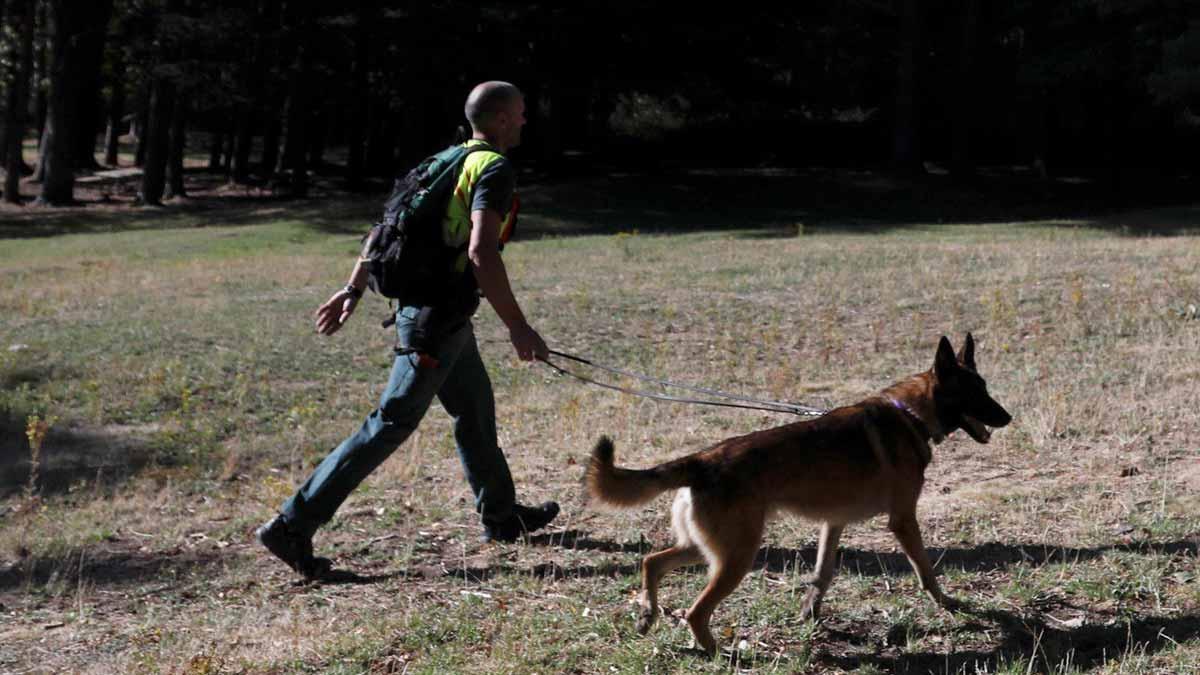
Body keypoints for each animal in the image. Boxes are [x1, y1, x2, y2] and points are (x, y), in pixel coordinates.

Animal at [585, 331, 1008, 653]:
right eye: (976, 393)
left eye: (986, 388)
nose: (1008, 417)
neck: (910, 414)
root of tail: (702, 459)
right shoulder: (903, 521)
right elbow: (925, 569)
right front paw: (947, 603)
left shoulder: (833, 524)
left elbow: (822, 574)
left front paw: (810, 613)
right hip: (737, 557)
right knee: (695, 610)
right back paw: (716, 650)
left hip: (707, 549)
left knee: (651, 561)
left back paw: (647, 614)